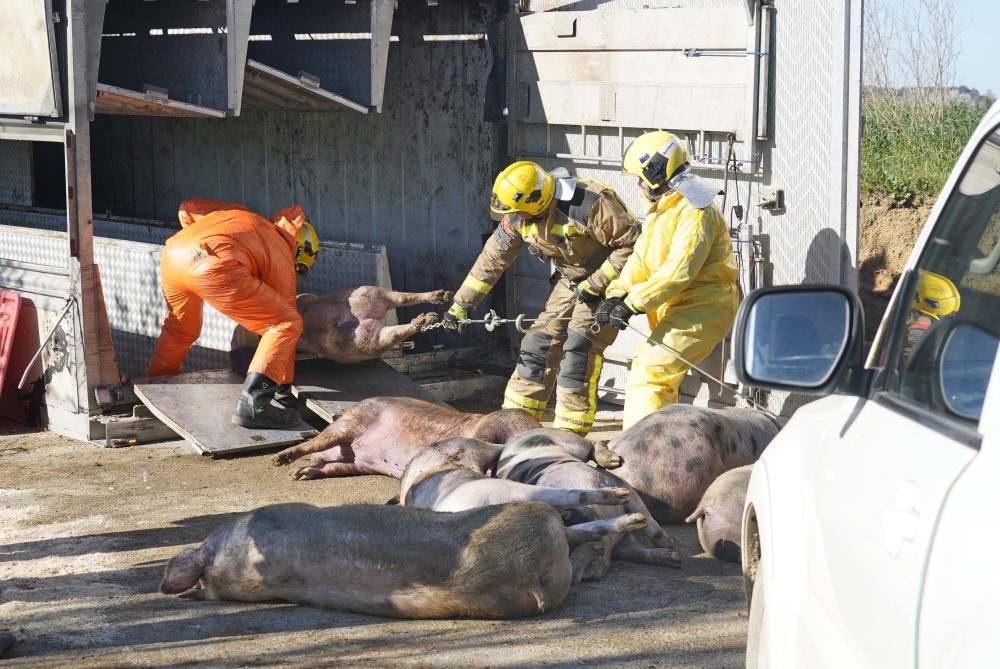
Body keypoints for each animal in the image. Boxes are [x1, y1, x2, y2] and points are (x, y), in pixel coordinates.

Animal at [230, 286, 450, 370]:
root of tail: (358, 318)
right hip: (371, 301)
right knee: (401, 299)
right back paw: (435, 305)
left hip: (367, 336)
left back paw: (427, 316)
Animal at [272, 396, 540, 480]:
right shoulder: (488, 427)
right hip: (350, 423)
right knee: (312, 444)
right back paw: (281, 462)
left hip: (356, 464)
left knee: (329, 465)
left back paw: (298, 474)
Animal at [498, 430, 680, 576]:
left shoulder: (619, 484)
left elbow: (648, 518)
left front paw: (670, 544)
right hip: (622, 542)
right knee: (634, 552)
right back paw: (673, 558)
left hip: (572, 443)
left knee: (591, 443)